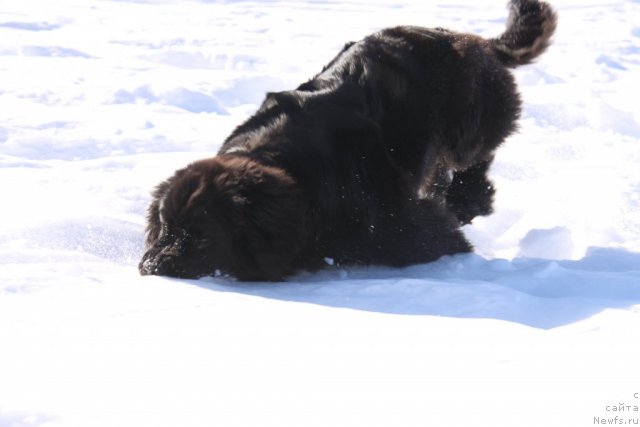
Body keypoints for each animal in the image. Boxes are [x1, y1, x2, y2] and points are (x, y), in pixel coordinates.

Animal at [139, 0, 556, 282]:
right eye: (166, 228)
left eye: (202, 237)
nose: (150, 267)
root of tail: (471, 40)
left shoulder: (396, 222)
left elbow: (434, 239)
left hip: (470, 120)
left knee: (476, 156)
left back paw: (468, 199)